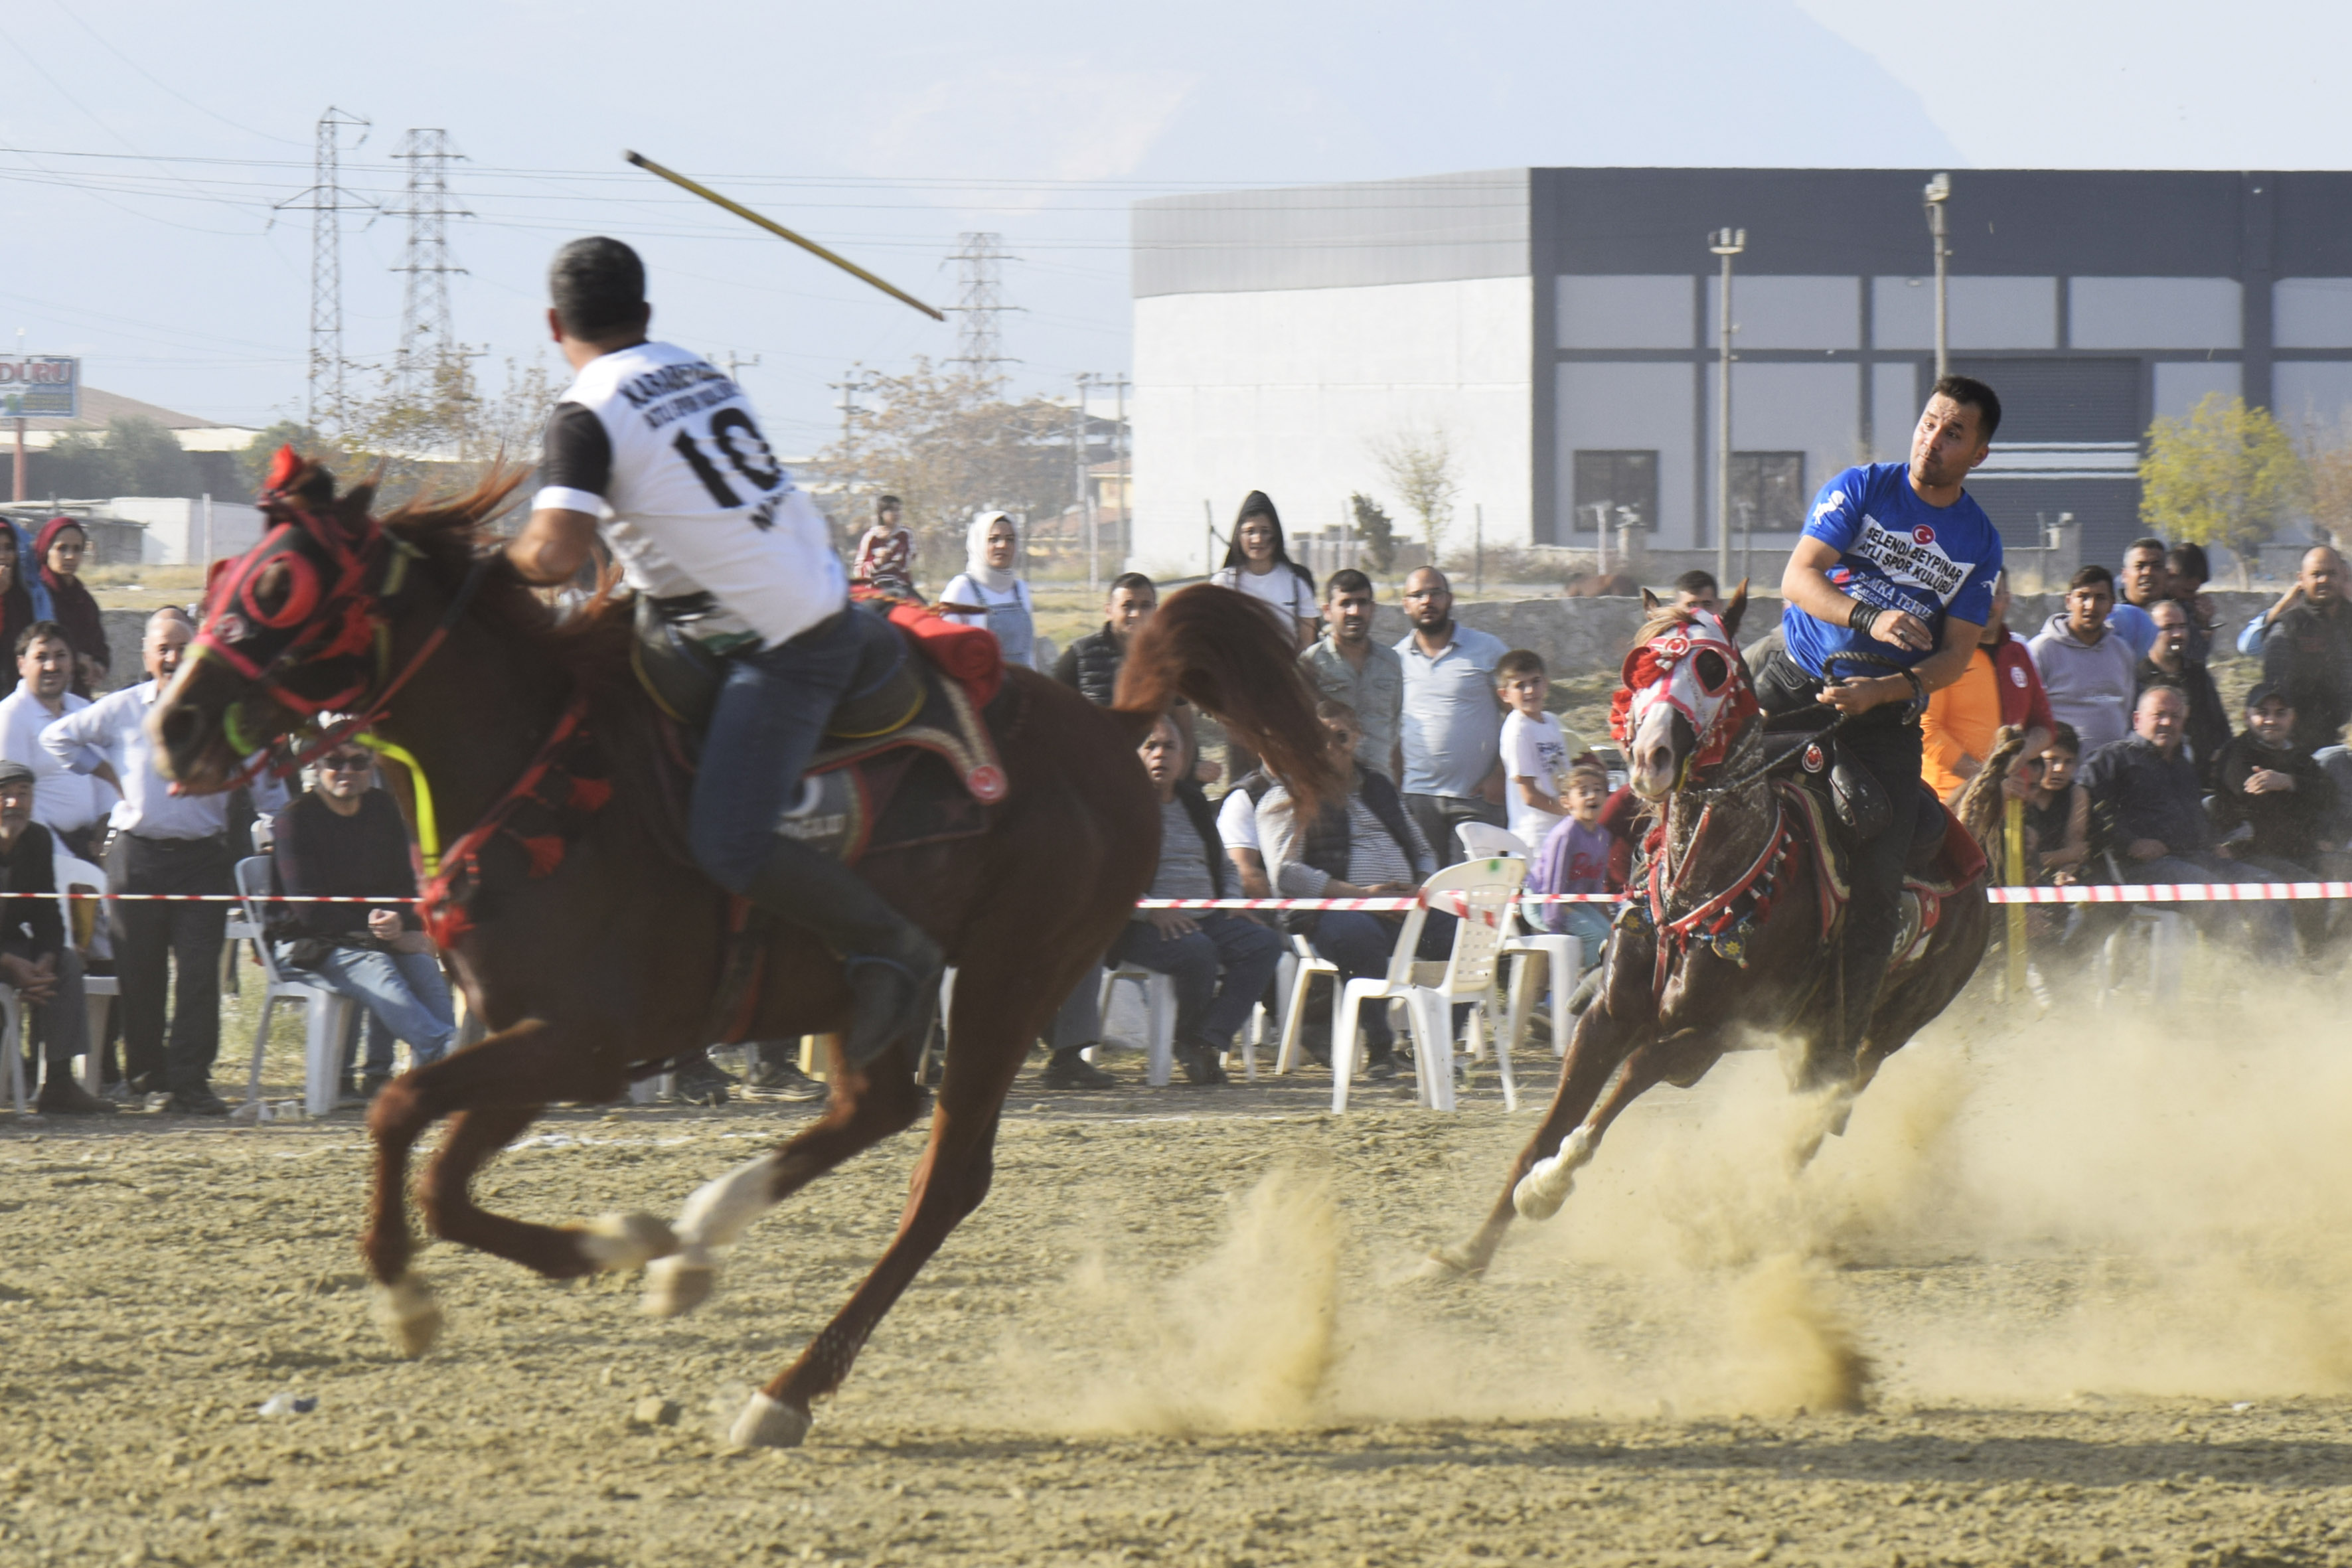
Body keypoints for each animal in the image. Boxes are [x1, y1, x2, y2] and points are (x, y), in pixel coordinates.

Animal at [151, 461, 1345, 1457]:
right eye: (224, 575)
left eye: (280, 586)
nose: (173, 728)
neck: (541, 772)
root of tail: (1111, 726)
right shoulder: (534, 1039)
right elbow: (440, 1170)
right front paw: (614, 1245)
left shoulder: (582, 1044)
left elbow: (402, 1116)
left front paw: (411, 1296)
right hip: (890, 993)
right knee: (872, 1108)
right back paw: (696, 1243)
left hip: (1013, 972)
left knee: (943, 1174)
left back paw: (783, 1386)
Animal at [1430, 594, 1985, 1279]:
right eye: (1640, 664)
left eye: (1712, 670)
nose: (1649, 758)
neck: (1710, 878)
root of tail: (1977, 865)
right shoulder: (1607, 1017)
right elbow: (1549, 1126)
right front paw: (1470, 1249)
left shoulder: (1709, 1034)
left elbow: (1629, 1080)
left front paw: (1549, 1188)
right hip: (1805, 1037)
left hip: (1881, 1033)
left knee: (1820, 1112)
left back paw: (1766, 1215)